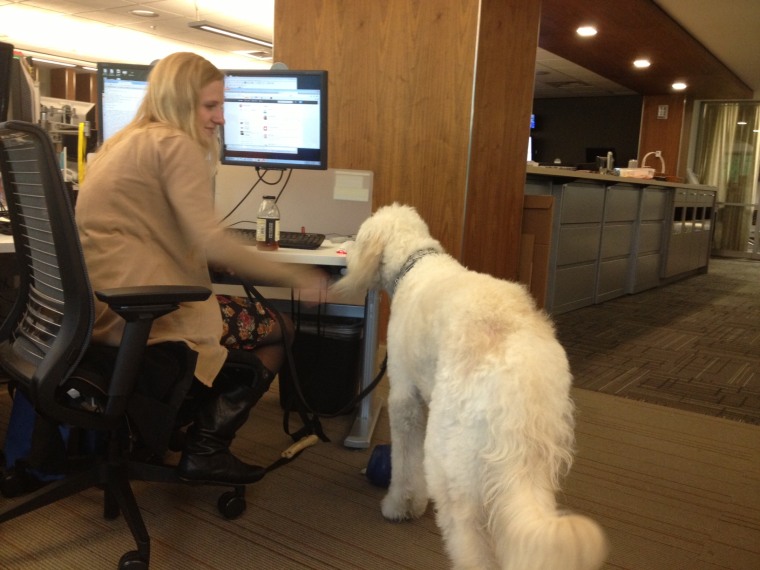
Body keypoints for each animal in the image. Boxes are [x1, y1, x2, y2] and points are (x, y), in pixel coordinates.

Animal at [336, 202, 608, 564]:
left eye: (358, 236)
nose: (345, 253)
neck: (416, 262)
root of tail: (518, 372)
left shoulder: (405, 398)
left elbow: (405, 462)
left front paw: (401, 505)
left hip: (451, 457)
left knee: (470, 540)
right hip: (532, 465)